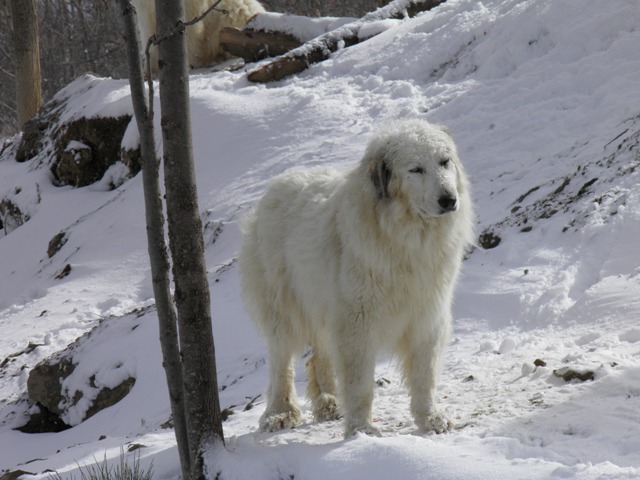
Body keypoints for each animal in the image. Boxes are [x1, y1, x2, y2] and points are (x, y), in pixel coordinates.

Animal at [240, 118, 476, 436]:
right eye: (415, 169)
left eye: (444, 161)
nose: (449, 199)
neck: (404, 237)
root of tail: (283, 179)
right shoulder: (358, 320)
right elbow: (359, 380)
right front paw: (361, 429)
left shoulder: (427, 314)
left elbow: (424, 375)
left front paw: (431, 418)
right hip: (284, 306)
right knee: (282, 360)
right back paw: (281, 413)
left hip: (323, 303)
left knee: (320, 355)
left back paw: (329, 403)